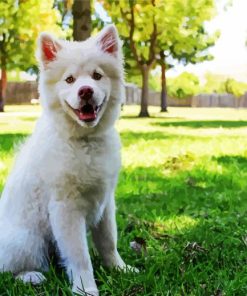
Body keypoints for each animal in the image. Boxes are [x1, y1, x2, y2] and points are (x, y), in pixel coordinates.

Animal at [0, 26, 133, 296]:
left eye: (97, 76)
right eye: (70, 80)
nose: (86, 91)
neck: (85, 141)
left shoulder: (105, 202)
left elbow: (109, 242)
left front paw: (120, 269)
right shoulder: (66, 209)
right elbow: (80, 256)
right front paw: (86, 288)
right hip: (27, 241)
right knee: (9, 269)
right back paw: (31, 276)